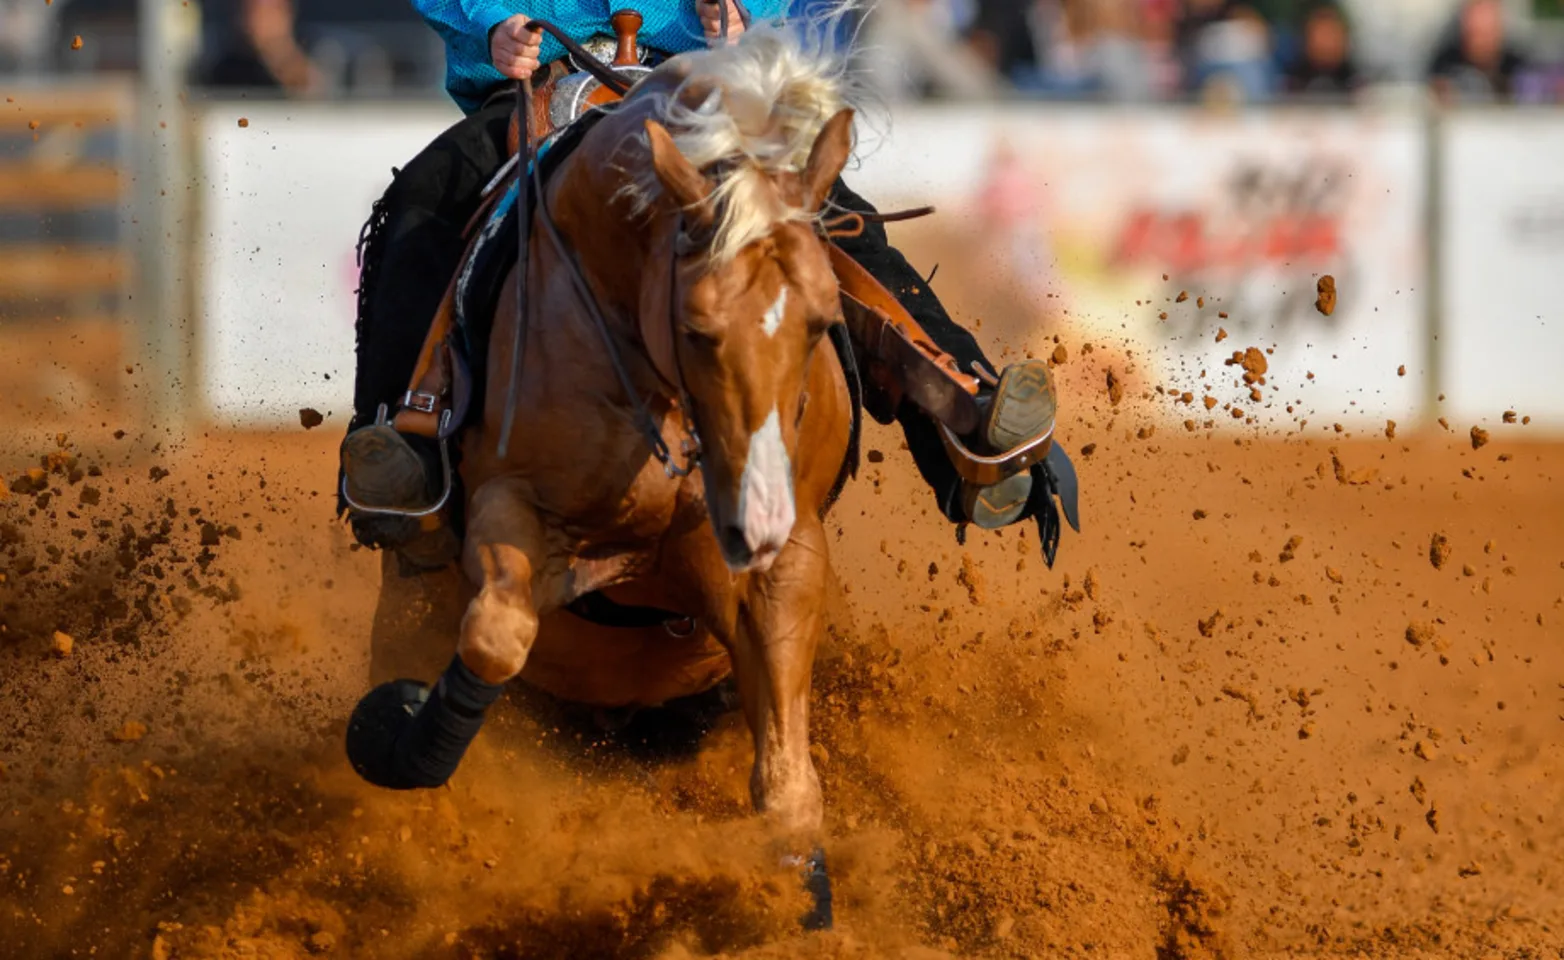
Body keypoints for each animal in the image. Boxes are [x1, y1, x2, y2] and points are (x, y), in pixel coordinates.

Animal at [345, 27, 859, 927]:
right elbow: (494, 638)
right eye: (697, 327)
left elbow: (789, 785)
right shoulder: (509, 509)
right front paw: (400, 737)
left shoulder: (788, 561)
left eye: (821, 319)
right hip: (411, 603)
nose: (753, 519)